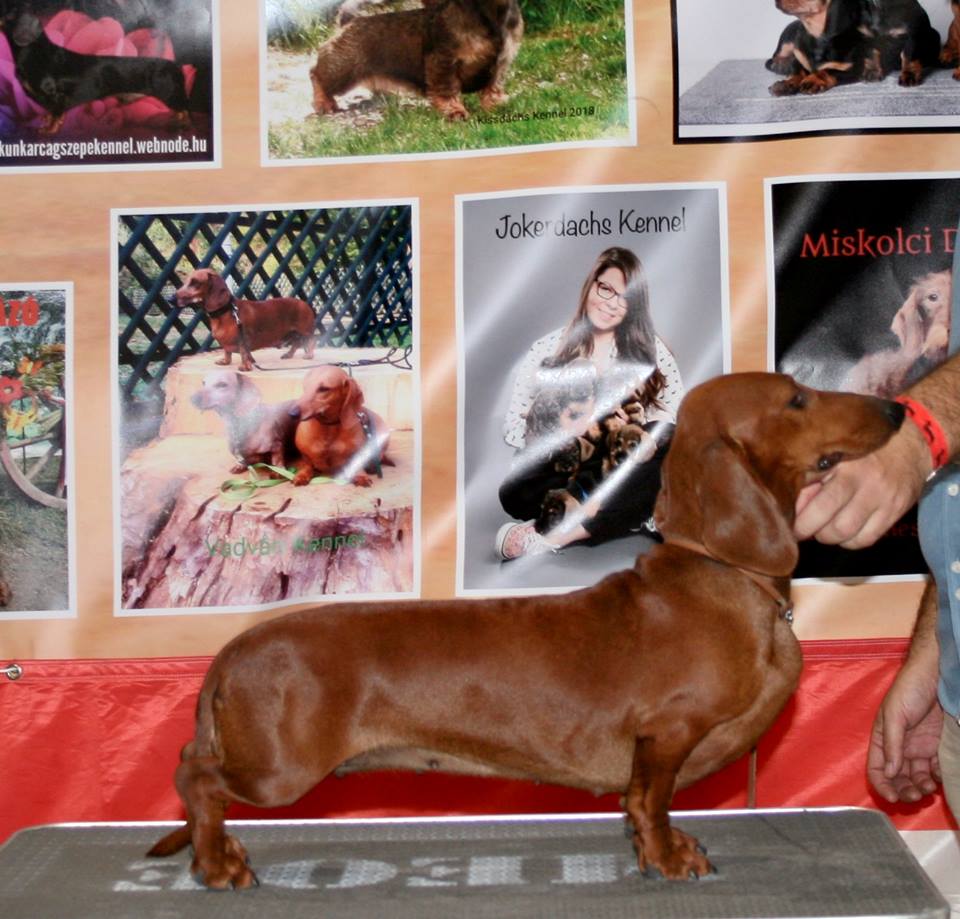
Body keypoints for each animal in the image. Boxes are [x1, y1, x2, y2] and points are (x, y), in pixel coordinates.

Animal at [2, 11, 192, 134]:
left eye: (9, 16)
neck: (35, 53)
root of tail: (175, 66)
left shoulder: (55, 96)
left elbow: (55, 114)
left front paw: (49, 130)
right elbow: (49, 114)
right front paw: (46, 125)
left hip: (171, 94)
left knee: (185, 110)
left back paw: (184, 125)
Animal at [147, 373, 904, 888]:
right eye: (797, 399)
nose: (897, 409)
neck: (720, 572)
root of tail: (232, 652)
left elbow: (641, 807)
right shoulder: (667, 732)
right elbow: (649, 801)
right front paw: (666, 856)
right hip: (280, 769)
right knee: (194, 775)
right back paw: (217, 863)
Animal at [172, 269, 316, 373]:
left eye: (195, 282)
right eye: (186, 281)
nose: (170, 299)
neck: (225, 312)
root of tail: (305, 303)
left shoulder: (243, 340)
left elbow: (243, 353)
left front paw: (245, 367)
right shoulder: (227, 344)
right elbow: (227, 352)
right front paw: (225, 362)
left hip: (305, 331)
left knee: (310, 340)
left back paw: (309, 355)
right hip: (293, 333)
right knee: (296, 343)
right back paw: (288, 354)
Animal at [309, 0, 523, 121]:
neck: (491, 14)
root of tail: (350, 21)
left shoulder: (503, 62)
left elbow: (494, 85)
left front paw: (497, 103)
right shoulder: (443, 61)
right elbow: (447, 90)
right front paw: (454, 111)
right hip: (343, 69)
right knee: (316, 74)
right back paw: (324, 104)